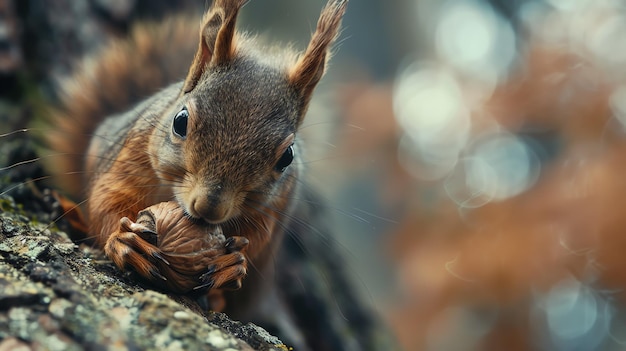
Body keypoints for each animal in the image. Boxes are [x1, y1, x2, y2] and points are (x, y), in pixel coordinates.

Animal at [41, 0, 382, 351]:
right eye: (180, 121)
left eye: (286, 157)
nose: (209, 207)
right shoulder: (130, 159)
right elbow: (107, 203)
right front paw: (125, 241)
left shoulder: (269, 209)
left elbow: (254, 241)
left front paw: (232, 265)